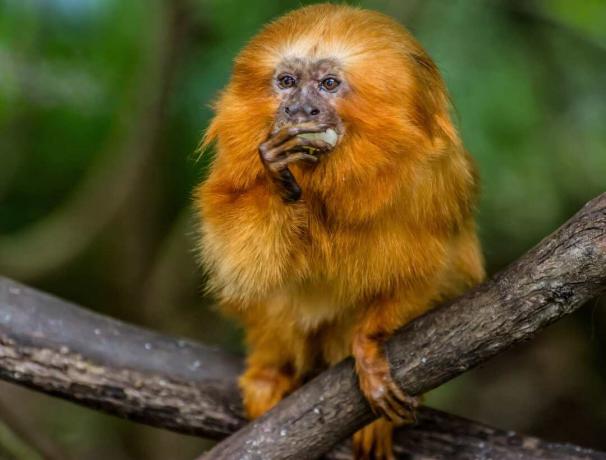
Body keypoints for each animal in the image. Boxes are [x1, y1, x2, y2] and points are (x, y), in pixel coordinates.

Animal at [197, 4, 486, 460]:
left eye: (329, 84)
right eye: (287, 82)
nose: (299, 111)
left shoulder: (435, 181)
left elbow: (435, 268)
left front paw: (368, 347)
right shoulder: (234, 165)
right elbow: (240, 261)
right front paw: (277, 172)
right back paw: (269, 373)